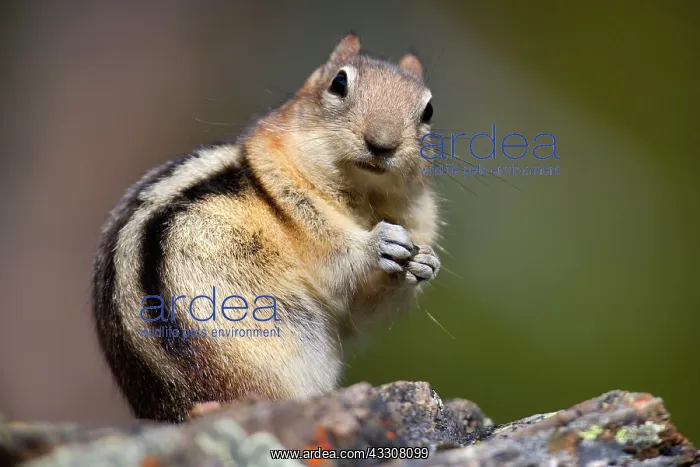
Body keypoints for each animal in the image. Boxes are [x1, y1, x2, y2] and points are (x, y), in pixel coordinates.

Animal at [91, 34, 441, 423]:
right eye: (339, 83)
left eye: (428, 110)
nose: (381, 143)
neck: (366, 198)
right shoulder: (297, 209)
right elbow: (336, 263)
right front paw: (378, 243)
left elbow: (357, 310)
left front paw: (424, 263)